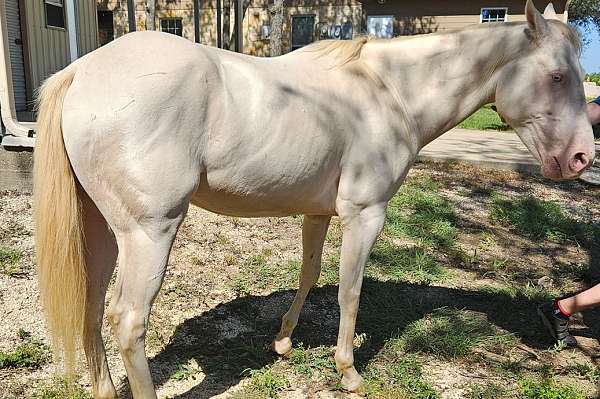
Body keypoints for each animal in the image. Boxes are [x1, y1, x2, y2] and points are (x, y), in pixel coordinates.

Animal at [34, 0, 596, 396]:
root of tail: (83, 71)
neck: (387, 90)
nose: (580, 159)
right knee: (129, 322)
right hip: (149, 234)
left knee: (90, 307)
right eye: (556, 76)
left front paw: (283, 340)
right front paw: (348, 372)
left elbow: (309, 275)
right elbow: (350, 291)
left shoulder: (317, 213)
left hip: (102, 232)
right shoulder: (365, 216)